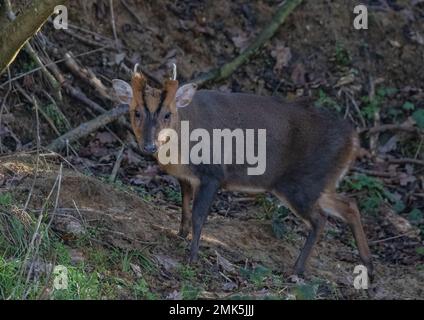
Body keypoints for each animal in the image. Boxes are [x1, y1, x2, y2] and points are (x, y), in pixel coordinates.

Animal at [111, 65, 372, 278]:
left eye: (167, 114)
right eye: (136, 112)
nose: (149, 146)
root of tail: (354, 141)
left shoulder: (213, 174)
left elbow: (198, 216)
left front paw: (191, 257)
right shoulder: (185, 177)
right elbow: (184, 209)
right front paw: (179, 236)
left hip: (300, 184)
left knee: (320, 219)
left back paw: (296, 269)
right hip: (318, 182)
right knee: (349, 204)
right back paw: (367, 262)